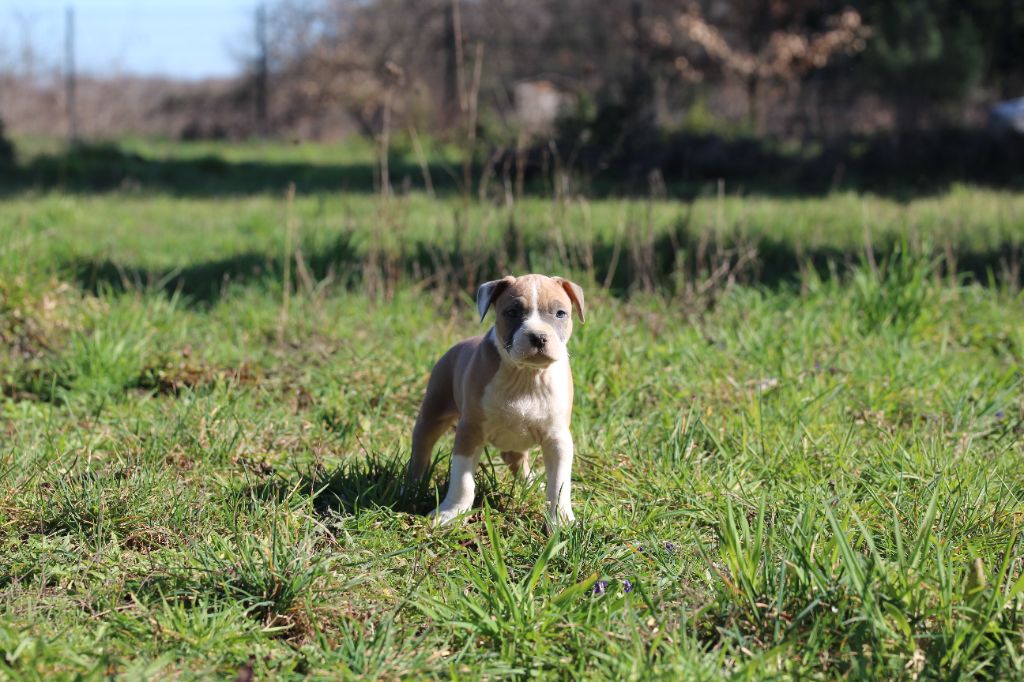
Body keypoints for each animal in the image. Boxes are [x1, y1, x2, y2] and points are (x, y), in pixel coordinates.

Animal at [405, 274, 585, 522]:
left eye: (560, 313)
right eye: (512, 312)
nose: (538, 337)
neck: (525, 375)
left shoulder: (557, 439)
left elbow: (559, 484)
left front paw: (561, 520)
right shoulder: (469, 431)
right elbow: (462, 478)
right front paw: (452, 512)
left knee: (517, 460)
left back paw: (532, 485)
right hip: (433, 411)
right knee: (422, 446)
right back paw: (412, 487)